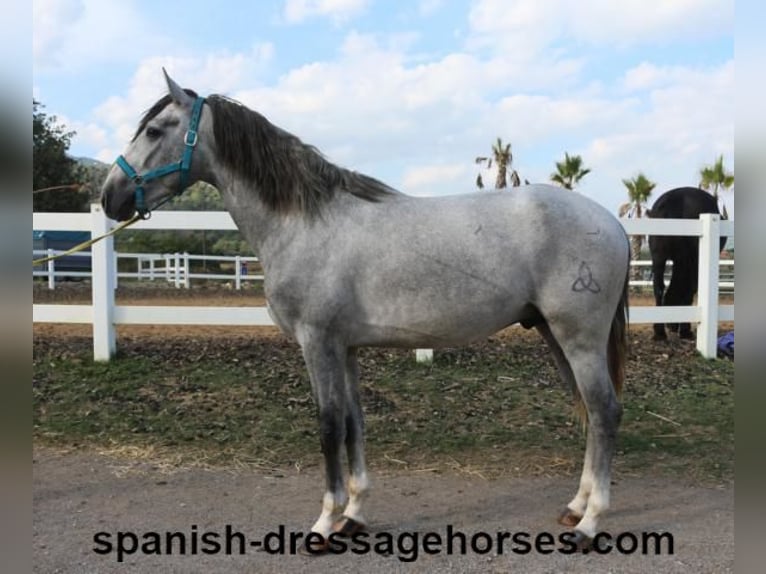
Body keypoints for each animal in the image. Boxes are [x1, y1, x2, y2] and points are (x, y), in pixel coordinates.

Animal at [102, 72, 632, 552]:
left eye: (155, 130)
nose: (110, 196)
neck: (304, 222)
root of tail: (613, 223)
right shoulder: (346, 347)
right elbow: (355, 422)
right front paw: (353, 516)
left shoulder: (317, 342)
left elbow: (328, 425)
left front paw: (324, 523)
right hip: (553, 334)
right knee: (588, 409)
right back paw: (576, 507)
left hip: (578, 338)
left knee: (604, 410)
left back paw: (590, 523)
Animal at [648, 187, 728, 342]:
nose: (671, 325)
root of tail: (674, 198)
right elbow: (690, 291)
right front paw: (685, 330)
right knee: (687, 289)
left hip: (658, 256)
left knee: (659, 287)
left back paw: (659, 332)